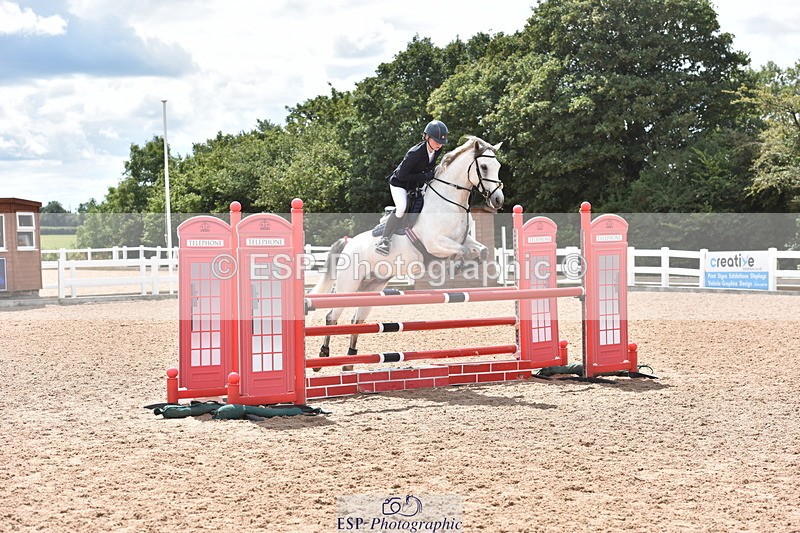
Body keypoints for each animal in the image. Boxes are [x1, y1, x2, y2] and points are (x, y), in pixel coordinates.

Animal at [309, 136, 505, 369]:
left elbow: (481, 251)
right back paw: (323, 355)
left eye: (498, 166)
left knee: (357, 319)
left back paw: (349, 360)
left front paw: (465, 266)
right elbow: (463, 251)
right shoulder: (435, 242)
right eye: (483, 167)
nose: (498, 201)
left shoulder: (463, 239)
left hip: (371, 286)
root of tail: (348, 244)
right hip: (348, 285)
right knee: (332, 315)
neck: (449, 203)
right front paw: (456, 265)